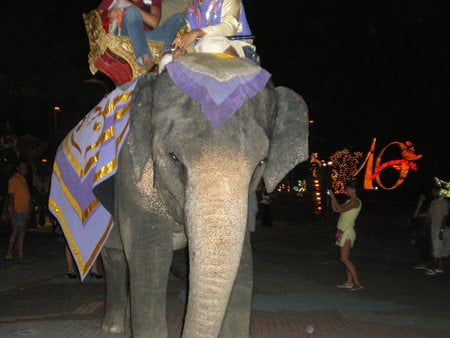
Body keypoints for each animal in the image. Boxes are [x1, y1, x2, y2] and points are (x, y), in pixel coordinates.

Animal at [92, 52, 308, 336]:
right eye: (174, 157)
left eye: (261, 163)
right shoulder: (132, 181)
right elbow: (150, 263)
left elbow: (244, 271)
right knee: (114, 258)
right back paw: (113, 327)